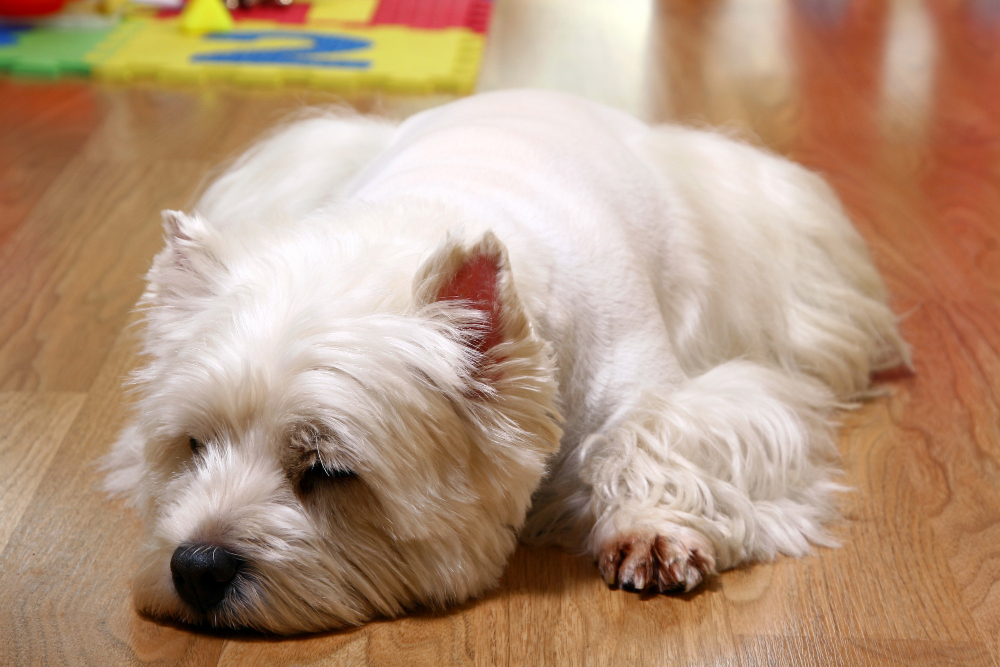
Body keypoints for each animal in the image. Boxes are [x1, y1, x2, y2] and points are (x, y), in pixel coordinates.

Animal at [105, 90, 912, 636]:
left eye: (330, 471)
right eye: (192, 444)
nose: (196, 566)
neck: (441, 207)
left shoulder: (663, 389)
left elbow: (655, 433)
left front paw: (651, 531)